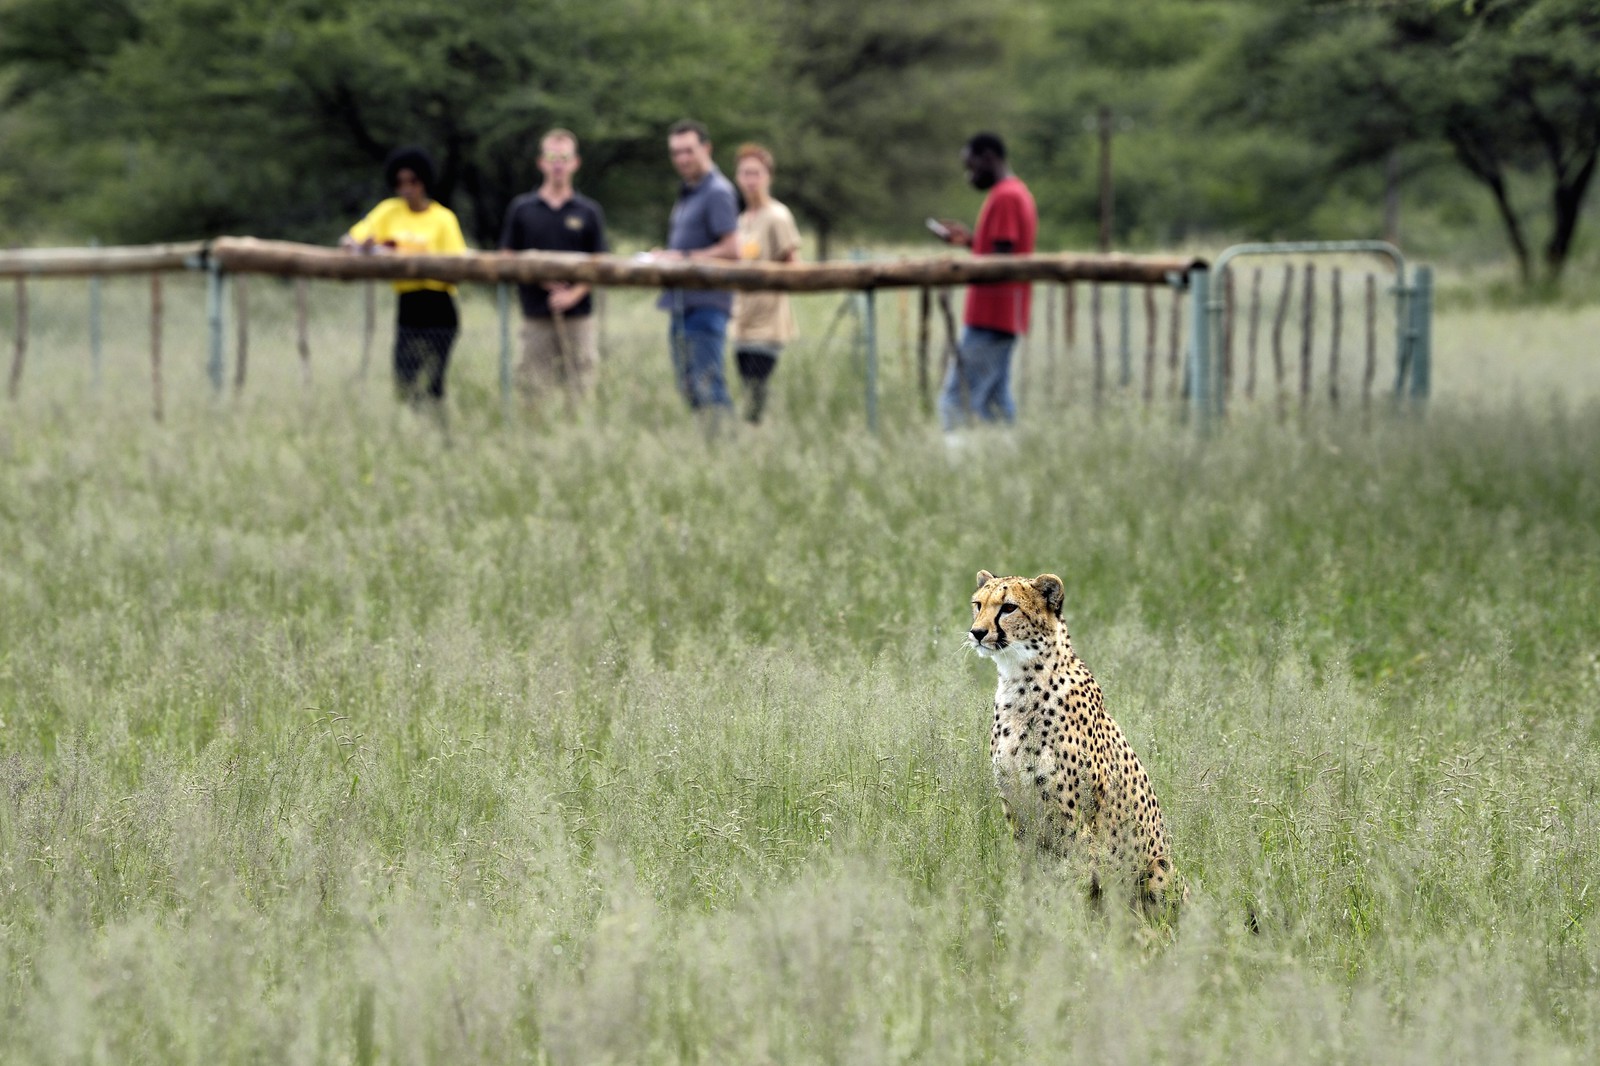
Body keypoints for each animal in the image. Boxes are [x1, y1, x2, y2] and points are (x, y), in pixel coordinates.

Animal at [967, 569, 1175, 910]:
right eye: (978, 604)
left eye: (1008, 608)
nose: (977, 632)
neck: (1020, 681)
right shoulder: (1018, 813)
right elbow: (1029, 875)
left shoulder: (1073, 821)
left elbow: (1076, 880)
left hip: (1159, 868)